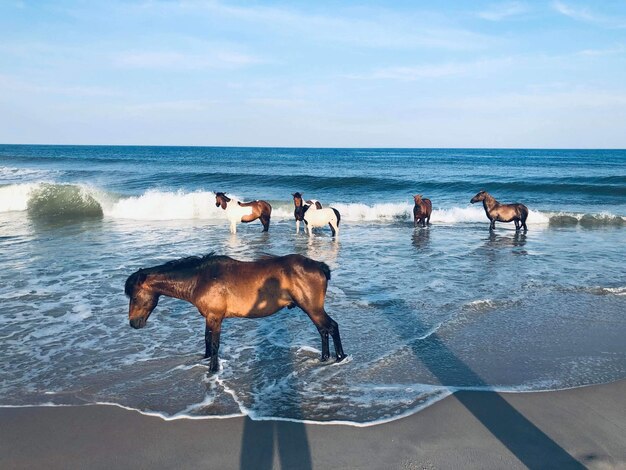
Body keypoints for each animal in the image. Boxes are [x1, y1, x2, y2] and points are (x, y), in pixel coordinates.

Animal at [124, 252, 344, 372]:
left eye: (134, 297)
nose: (134, 323)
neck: (200, 279)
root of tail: (319, 266)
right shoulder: (209, 317)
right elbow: (206, 339)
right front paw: (205, 360)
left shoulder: (216, 318)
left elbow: (214, 343)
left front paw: (212, 370)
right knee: (323, 330)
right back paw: (324, 358)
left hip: (312, 308)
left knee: (331, 327)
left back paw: (340, 357)